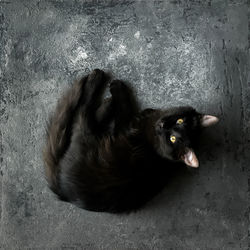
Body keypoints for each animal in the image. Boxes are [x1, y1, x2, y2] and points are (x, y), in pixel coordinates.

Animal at [43, 69, 219, 213]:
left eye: (173, 138)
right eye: (180, 121)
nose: (163, 125)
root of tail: (65, 193)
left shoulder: (124, 126)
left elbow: (124, 106)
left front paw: (116, 87)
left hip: (86, 136)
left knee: (83, 111)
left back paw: (96, 79)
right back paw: (106, 102)